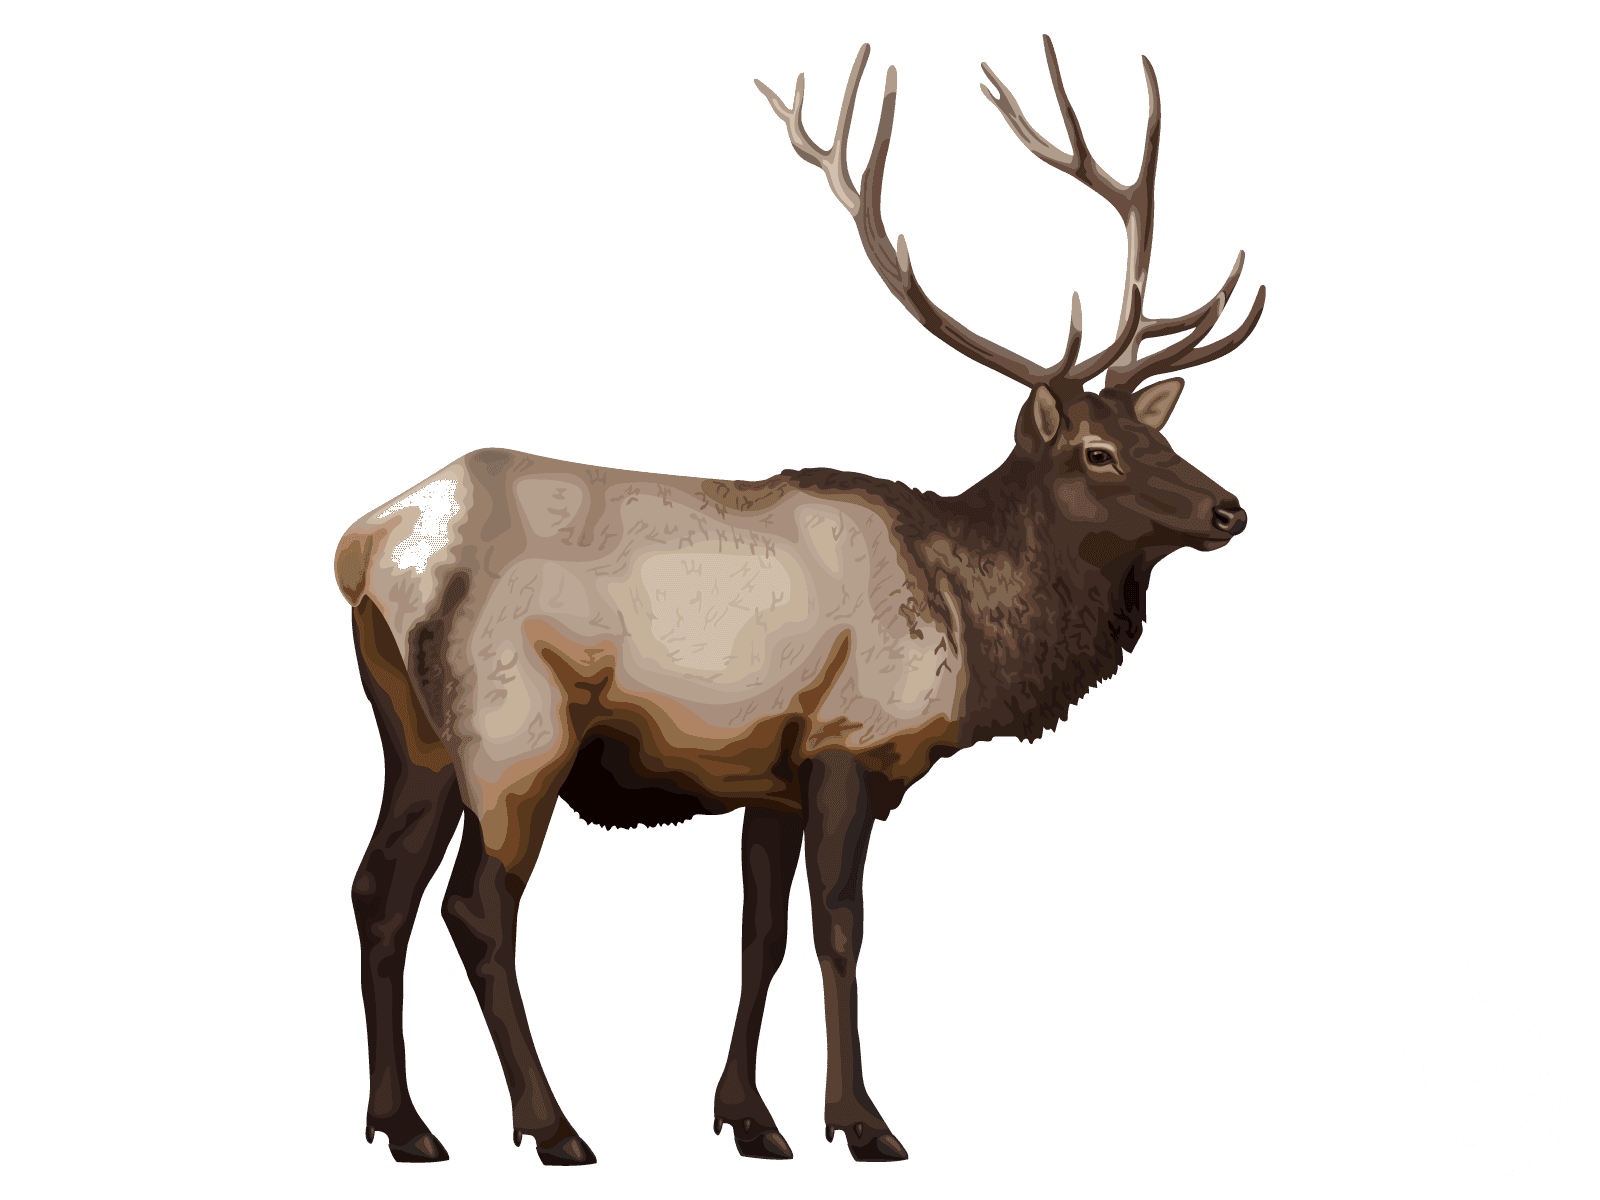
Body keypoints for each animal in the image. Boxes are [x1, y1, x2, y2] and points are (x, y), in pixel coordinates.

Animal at [336, 34, 1264, 1167]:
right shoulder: (847, 742)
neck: (969, 622)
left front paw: (749, 1117)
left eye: (1157, 432)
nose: (1228, 509)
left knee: (376, 892)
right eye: (1097, 451)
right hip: (513, 726)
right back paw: (551, 1126)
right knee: (476, 907)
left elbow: (760, 938)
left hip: (412, 732)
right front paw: (861, 1121)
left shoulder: (765, 772)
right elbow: (838, 928)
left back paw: (403, 1124)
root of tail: (367, 544)